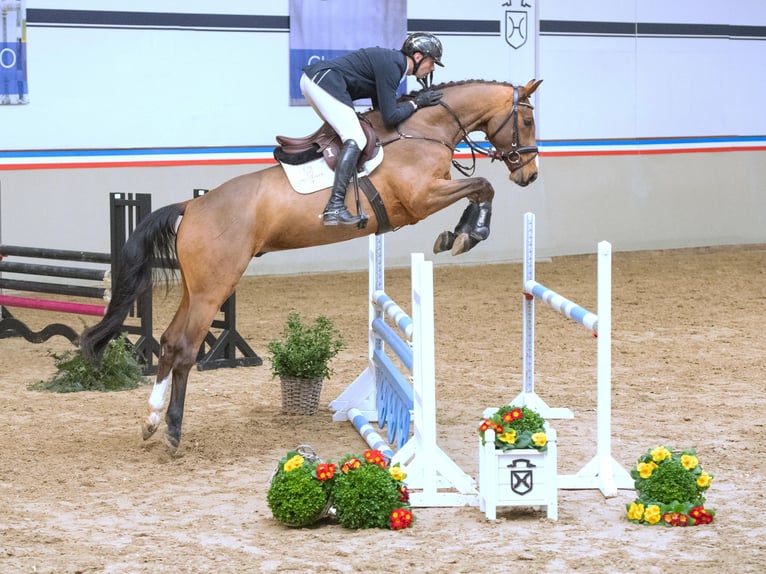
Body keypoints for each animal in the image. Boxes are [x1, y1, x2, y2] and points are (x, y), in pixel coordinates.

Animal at [81, 77, 544, 454]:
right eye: (527, 121)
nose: (530, 175)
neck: (423, 130)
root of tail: (192, 206)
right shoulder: (422, 198)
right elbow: (482, 186)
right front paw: (467, 233)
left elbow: (479, 188)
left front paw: (460, 233)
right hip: (215, 288)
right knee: (183, 349)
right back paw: (173, 432)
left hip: (196, 289)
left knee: (168, 341)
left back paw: (151, 420)